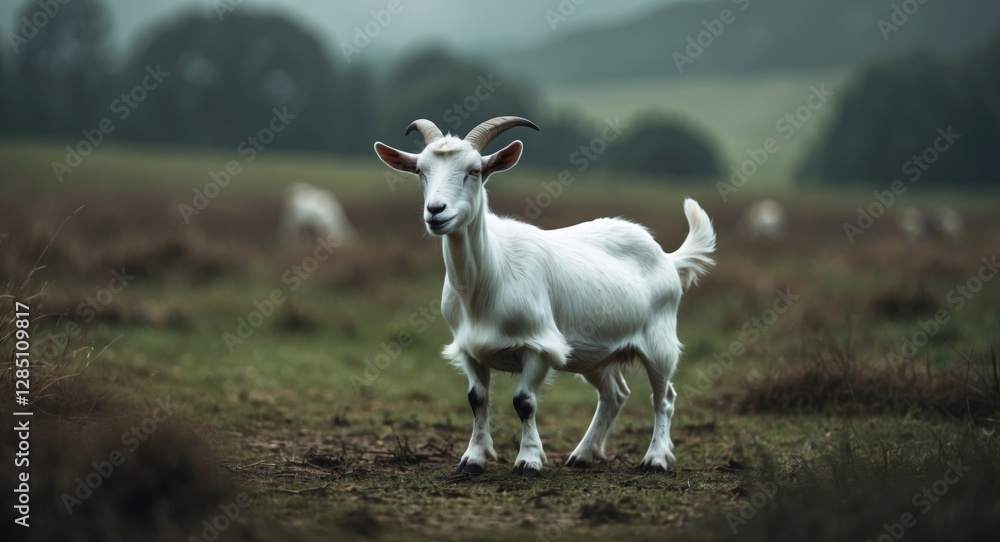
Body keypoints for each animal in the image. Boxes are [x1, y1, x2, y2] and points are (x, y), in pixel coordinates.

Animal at [374, 117, 715, 477]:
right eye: (420, 171)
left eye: (475, 171)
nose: (436, 211)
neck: (489, 278)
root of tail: (668, 257)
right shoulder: (470, 349)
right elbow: (476, 399)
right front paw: (473, 459)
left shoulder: (539, 345)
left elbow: (524, 402)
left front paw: (529, 461)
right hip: (592, 352)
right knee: (615, 394)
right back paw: (582, 455)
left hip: (659, 341)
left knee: (664, 397)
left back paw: (656, 459)